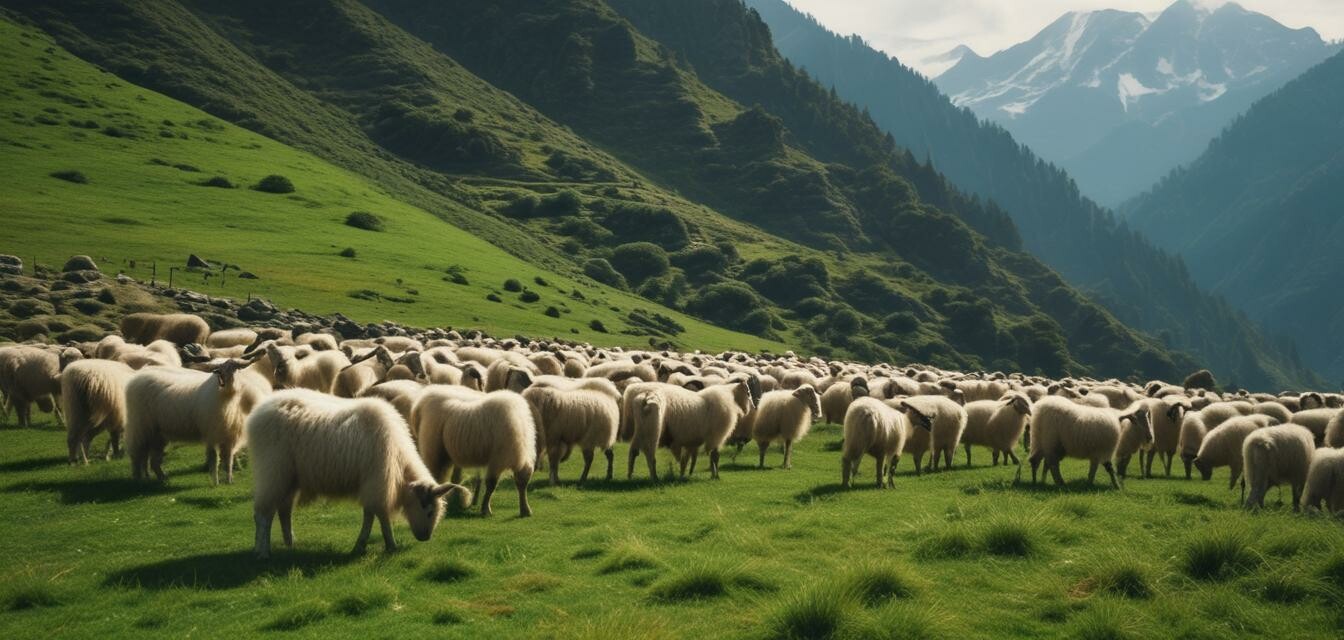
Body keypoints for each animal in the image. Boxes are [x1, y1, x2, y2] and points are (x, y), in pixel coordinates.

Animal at [126, 363, 270, 481]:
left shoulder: (229, 435)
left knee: (151, 458)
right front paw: (216, 481)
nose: (228, 384)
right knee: (137, 454)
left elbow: (228, 459)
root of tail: (137, 376)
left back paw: (159, 478)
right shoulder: (213, 433)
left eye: (237, 369)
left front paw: (229, 480)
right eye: (220, 372)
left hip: (157, 434)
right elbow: (215, 458)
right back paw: (138, 478)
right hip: (140, 427)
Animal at [247, 387, 473, 556]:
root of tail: (257, 413)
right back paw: (262, 551)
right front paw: (388, 545)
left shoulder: (373, 483)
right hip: (273, 469)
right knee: (262, 513)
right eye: (429, 510)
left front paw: (362, 545)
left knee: (283, 510)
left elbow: (370, 515)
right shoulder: (377, 481)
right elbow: (379, 516)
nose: (425, 538)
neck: (399, 463)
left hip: (290, 476)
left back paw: (289, 543)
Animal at [408, 384, 534, 516]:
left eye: (525, 485)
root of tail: (423, 398)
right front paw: (486, 509)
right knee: (433, 473)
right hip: (433, 449)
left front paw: (525, 509)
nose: (526, 513)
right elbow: (491, 484)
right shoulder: (497, 459)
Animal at [620, 379, 752, 478]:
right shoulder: (716, 436)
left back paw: (630, 475)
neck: (731, 397)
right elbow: (714, 456)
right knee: (649, 454)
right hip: (652, 428)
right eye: (748, 393)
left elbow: (689, 458)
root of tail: (645, 397)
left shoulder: (693, 441)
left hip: (641, 428)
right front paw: (715, 476)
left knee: (633, 451)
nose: (752, 408)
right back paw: (654, 477)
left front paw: (685, 473)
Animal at [1021, 397, 1150, 486]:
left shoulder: (1099, 452)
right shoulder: (1102, 451)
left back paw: (1037, 481)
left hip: (1042, 441)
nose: (1150, 436)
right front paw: (1113, 486)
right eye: (1140, 419)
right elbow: (1105, 469)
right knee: (1052, 464)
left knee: (1036, 461)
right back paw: (1060, 483)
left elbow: (1100, 469)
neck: (1118, 419)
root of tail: (1039, 408)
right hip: (1052, 442)